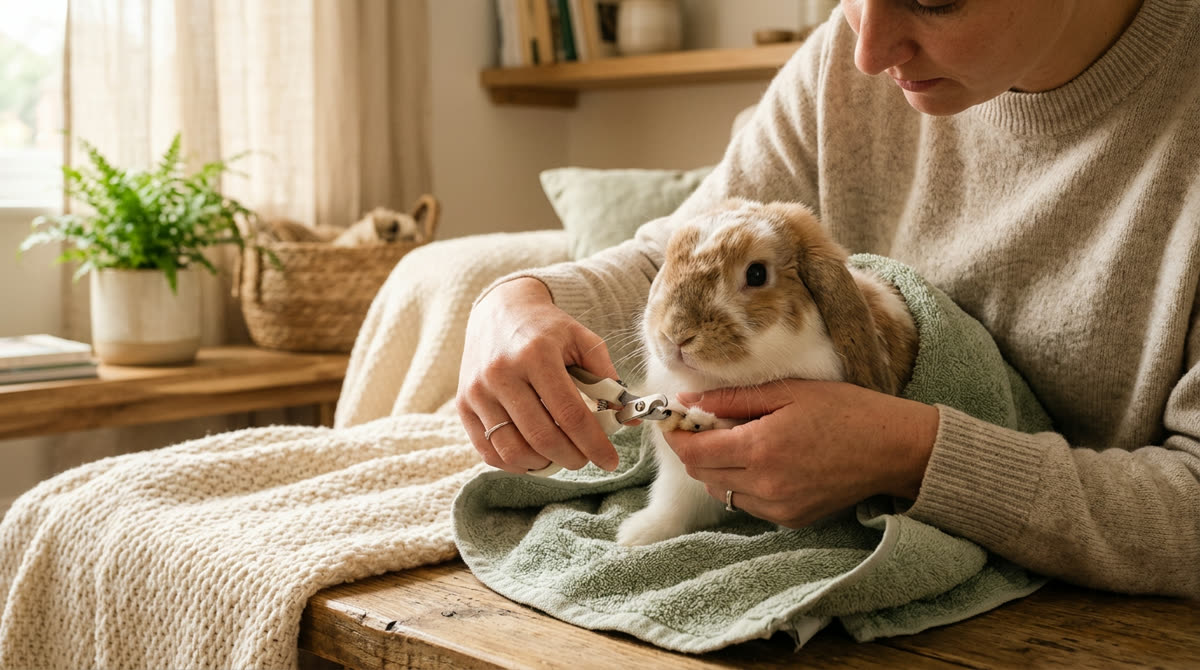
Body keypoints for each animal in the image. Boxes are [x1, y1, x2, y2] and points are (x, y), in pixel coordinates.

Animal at [615, 197, 918, 547]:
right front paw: (636, 535)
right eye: (668, 262)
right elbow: (675, 505)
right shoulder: (680, 478)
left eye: (757, 273)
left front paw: (699, 420)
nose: (676, 334)